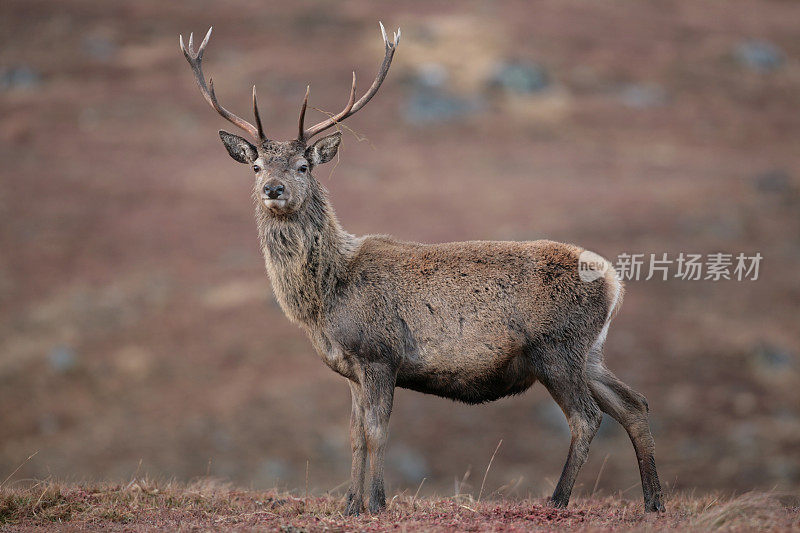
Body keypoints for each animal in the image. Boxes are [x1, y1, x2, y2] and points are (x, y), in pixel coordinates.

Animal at [180, 25, 664, 516]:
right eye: (256, 165)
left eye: (302, 166)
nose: (273, 189)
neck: (325, 298)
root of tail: (614, 281)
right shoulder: (351, 369)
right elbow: (355, 436)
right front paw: (349, 506)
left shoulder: (380, 353)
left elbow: (376, 432)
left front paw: (377, 503)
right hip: (589, 352)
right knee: (634, 404)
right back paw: (653, 502)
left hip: (556, 348)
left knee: (587, 417)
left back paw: (558, 500)